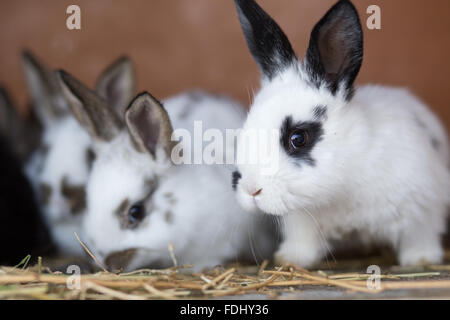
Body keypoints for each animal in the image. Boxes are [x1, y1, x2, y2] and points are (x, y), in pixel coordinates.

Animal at [232, 0, 450, 268]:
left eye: (298, 138)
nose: (251, 190)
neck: (343, 185)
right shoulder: (302, 222)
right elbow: (303, 242)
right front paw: (290, 259)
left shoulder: (423, 206)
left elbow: (419, 235)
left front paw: (420, 259)